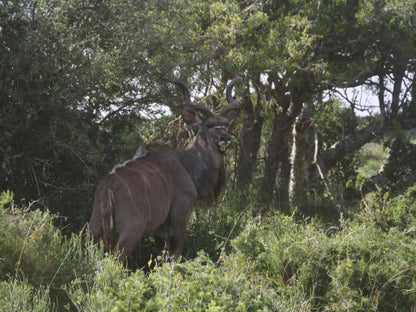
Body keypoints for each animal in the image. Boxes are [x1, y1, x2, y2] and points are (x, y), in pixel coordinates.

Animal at [89, 73, 242, 260]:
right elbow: (175, 255)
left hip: (94, 228)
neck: (185, 164)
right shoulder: (179, 216)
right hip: (132, 231)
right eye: (209, 125)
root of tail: (107, 187)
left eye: (226, 124)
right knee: (115, 258)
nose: (224, 138)